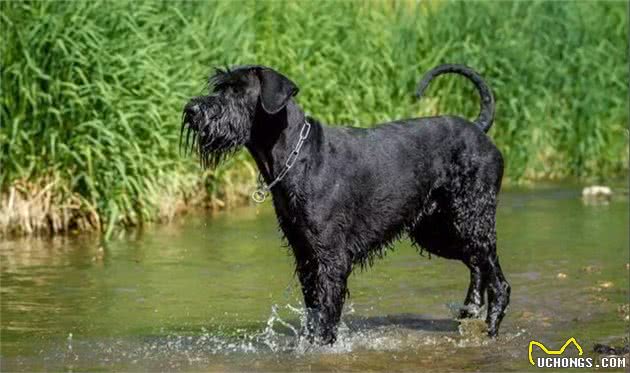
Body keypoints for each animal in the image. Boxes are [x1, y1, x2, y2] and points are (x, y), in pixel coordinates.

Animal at [183, 63, 512, 342]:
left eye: (238, 90)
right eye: (219, 86)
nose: (192, 109)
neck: (297, 156)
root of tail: (479, 129)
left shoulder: (332, 258)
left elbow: (327, 315)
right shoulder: (305, 255)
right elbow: (313, 310)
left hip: (472, 220)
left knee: (498, 280)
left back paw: (490, 329)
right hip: (437, 232)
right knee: (477, 265)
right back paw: (470, 312)